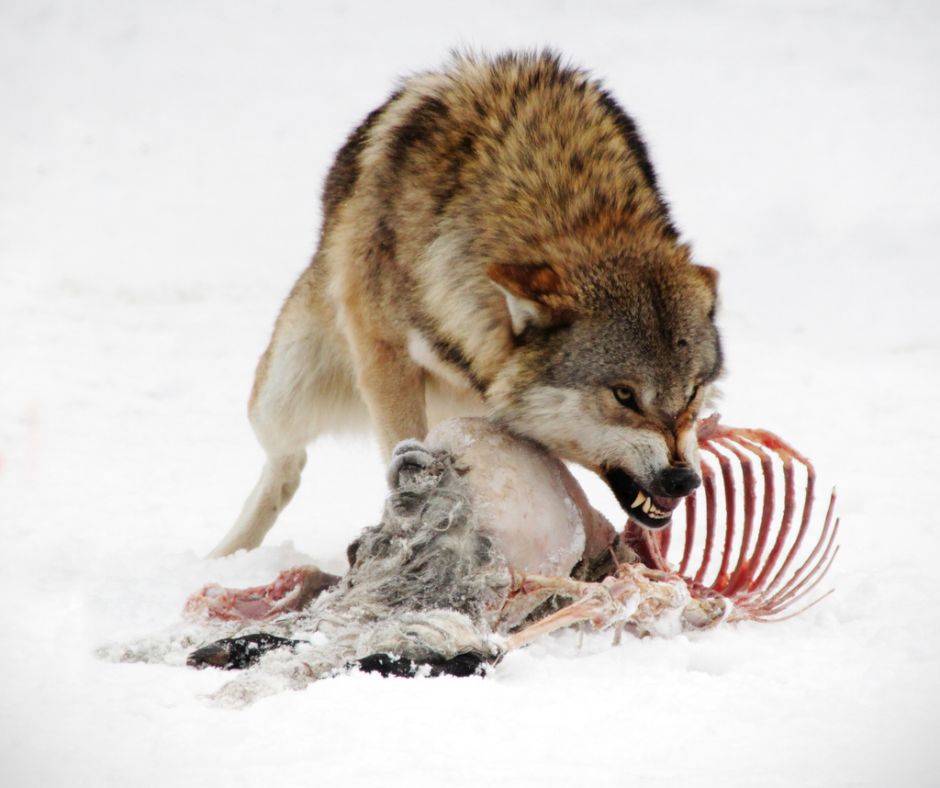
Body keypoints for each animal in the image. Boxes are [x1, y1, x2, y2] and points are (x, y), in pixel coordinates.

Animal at [209, 50, 724, 560]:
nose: (683, 480)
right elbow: (401, 442)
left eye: (692, 392)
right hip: (284, 393)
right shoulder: (384, 358)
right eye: (623, 395)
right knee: (286, 465)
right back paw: (225, 557)